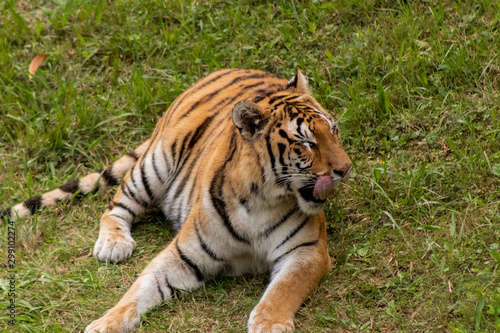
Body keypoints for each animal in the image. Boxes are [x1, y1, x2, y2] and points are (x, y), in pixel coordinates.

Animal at [0, 68, 352, 332]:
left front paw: (269, 325)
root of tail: (226, 69)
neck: (261, 199)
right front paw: (105, 323)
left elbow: (282, 291)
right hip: (155, 163)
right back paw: (113, 244)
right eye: (305, 143)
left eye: (334, 130)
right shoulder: (184, 253)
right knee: (115, 205)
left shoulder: (307, 252)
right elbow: (139, 289)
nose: (346, 169)